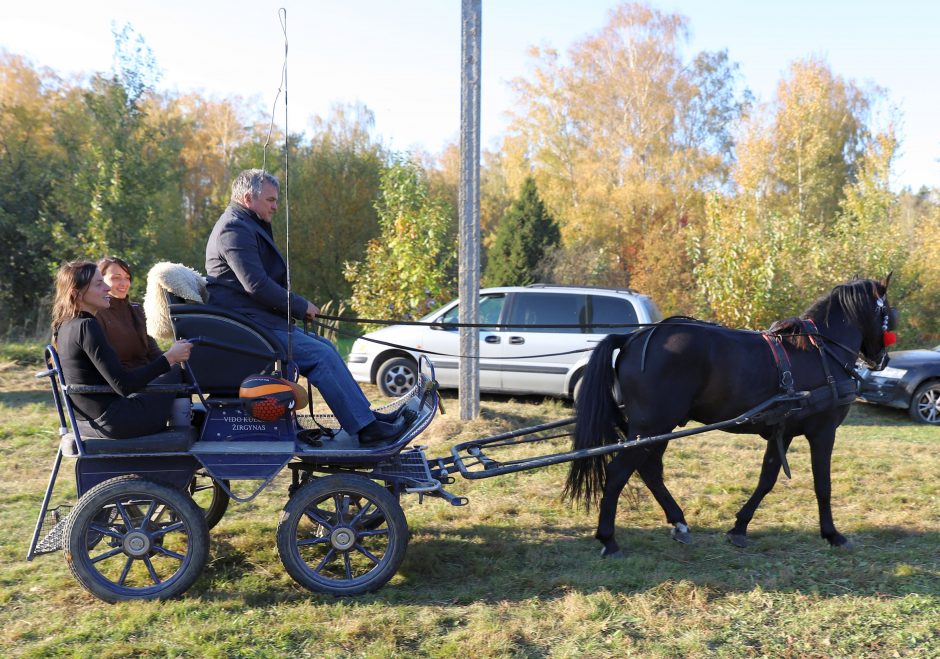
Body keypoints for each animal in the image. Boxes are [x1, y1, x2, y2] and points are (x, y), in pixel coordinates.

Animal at [564, 274, 896, 556]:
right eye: (889, 315)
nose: (882, 359)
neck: (822, 351)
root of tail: (633, 338)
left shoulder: (782, 432)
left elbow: (767, 479)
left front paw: (739, 527)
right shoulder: (823, 432)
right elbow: (822, 485)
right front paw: (832, 534)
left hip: (656, 428)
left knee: (649, 470)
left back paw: (678, 523)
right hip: (651, 425)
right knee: (619, 472)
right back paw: (609, 539)